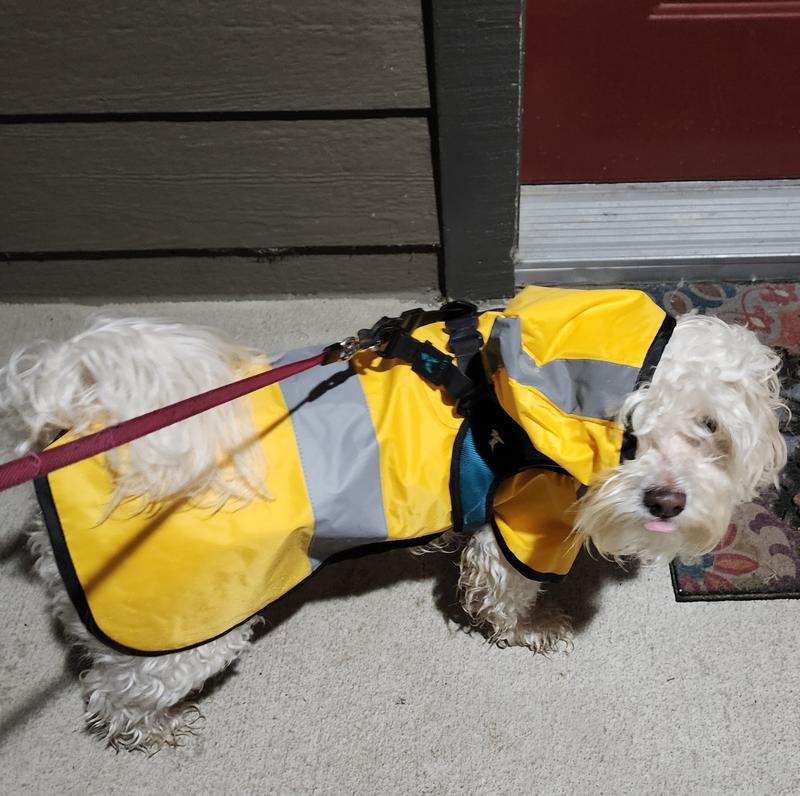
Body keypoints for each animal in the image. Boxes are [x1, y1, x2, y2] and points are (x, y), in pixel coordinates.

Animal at [0, 288, 788, 752]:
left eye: (710, 427)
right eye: (628, 428)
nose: (666, 502)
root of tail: (71, 429)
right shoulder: (518, 525)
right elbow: (508, 595)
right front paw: (535, 626)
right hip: (183, 635)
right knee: (113, 696)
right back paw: (159, 728)